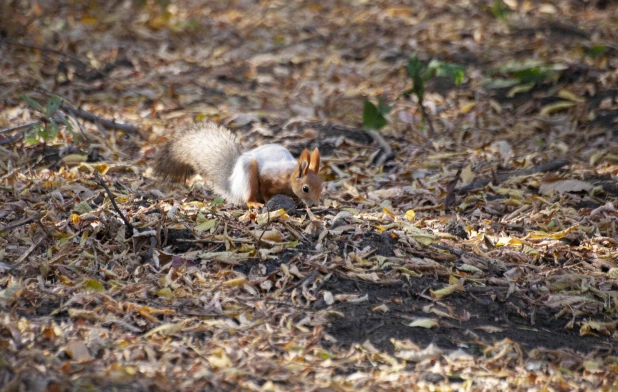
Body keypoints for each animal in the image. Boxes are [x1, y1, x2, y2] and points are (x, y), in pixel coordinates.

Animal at [152, 121, 320, 208]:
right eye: (305, 188)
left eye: (322, 187)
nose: (315, 204)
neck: (288, 175)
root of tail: (232, 185)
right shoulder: (268, 176)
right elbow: (265, 190)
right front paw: (269, 201)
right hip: (248, 173)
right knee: (247, 196)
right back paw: (254, 203)